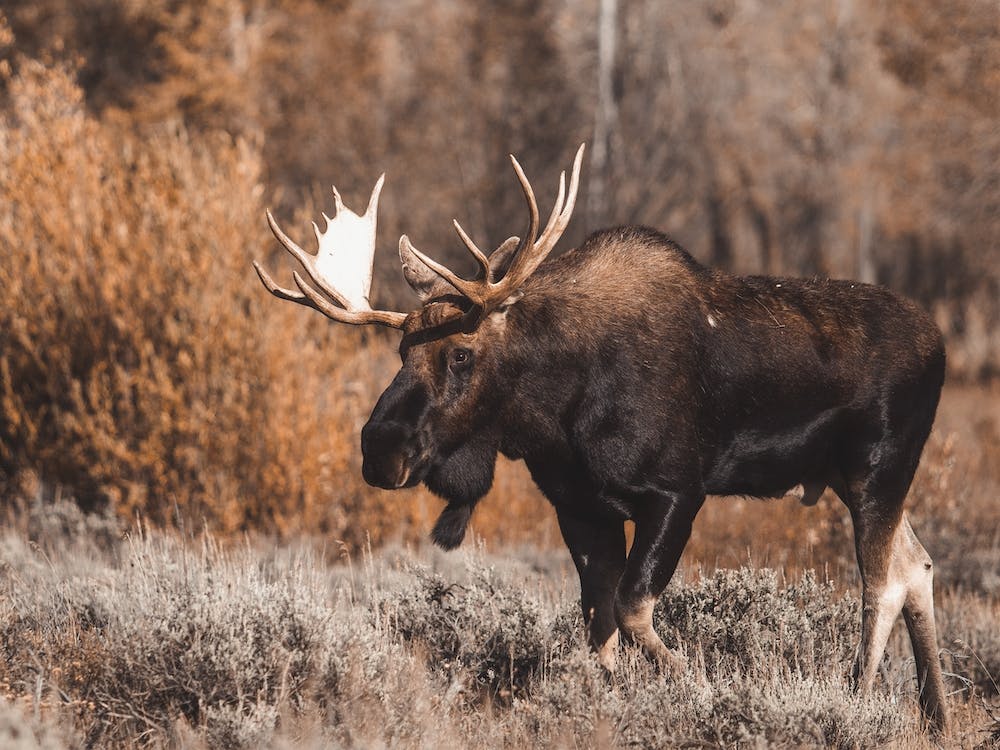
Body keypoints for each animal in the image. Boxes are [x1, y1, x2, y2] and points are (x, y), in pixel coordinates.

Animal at [254, 144, 949, 732]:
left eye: (461, 354)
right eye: (402, 350)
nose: (379, 448)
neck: (555, 413)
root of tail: (940, 343)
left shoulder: (676, 492)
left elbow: (633, 607)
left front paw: (700, 690)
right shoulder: (580, 506)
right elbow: (600, 622)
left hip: (879, 467)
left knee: (881, 581)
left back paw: (857, 701)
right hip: (846, 475)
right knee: (916, 564)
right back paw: (935, 716)